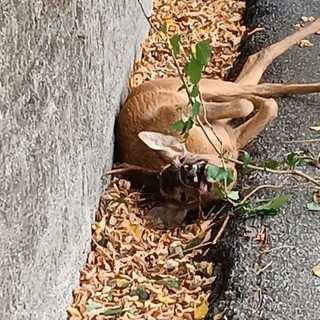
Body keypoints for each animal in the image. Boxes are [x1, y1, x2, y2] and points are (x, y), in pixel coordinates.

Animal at [114, 18, 320, 228]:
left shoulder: (183, 110)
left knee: (256, 65)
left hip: (197, 86)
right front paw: (259, 101)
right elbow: (264, 105)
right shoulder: (230, 134)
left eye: (180, 161)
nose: (189, 173)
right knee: (258, 74)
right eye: (184, 197)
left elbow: (246, 103)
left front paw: (254, 100)